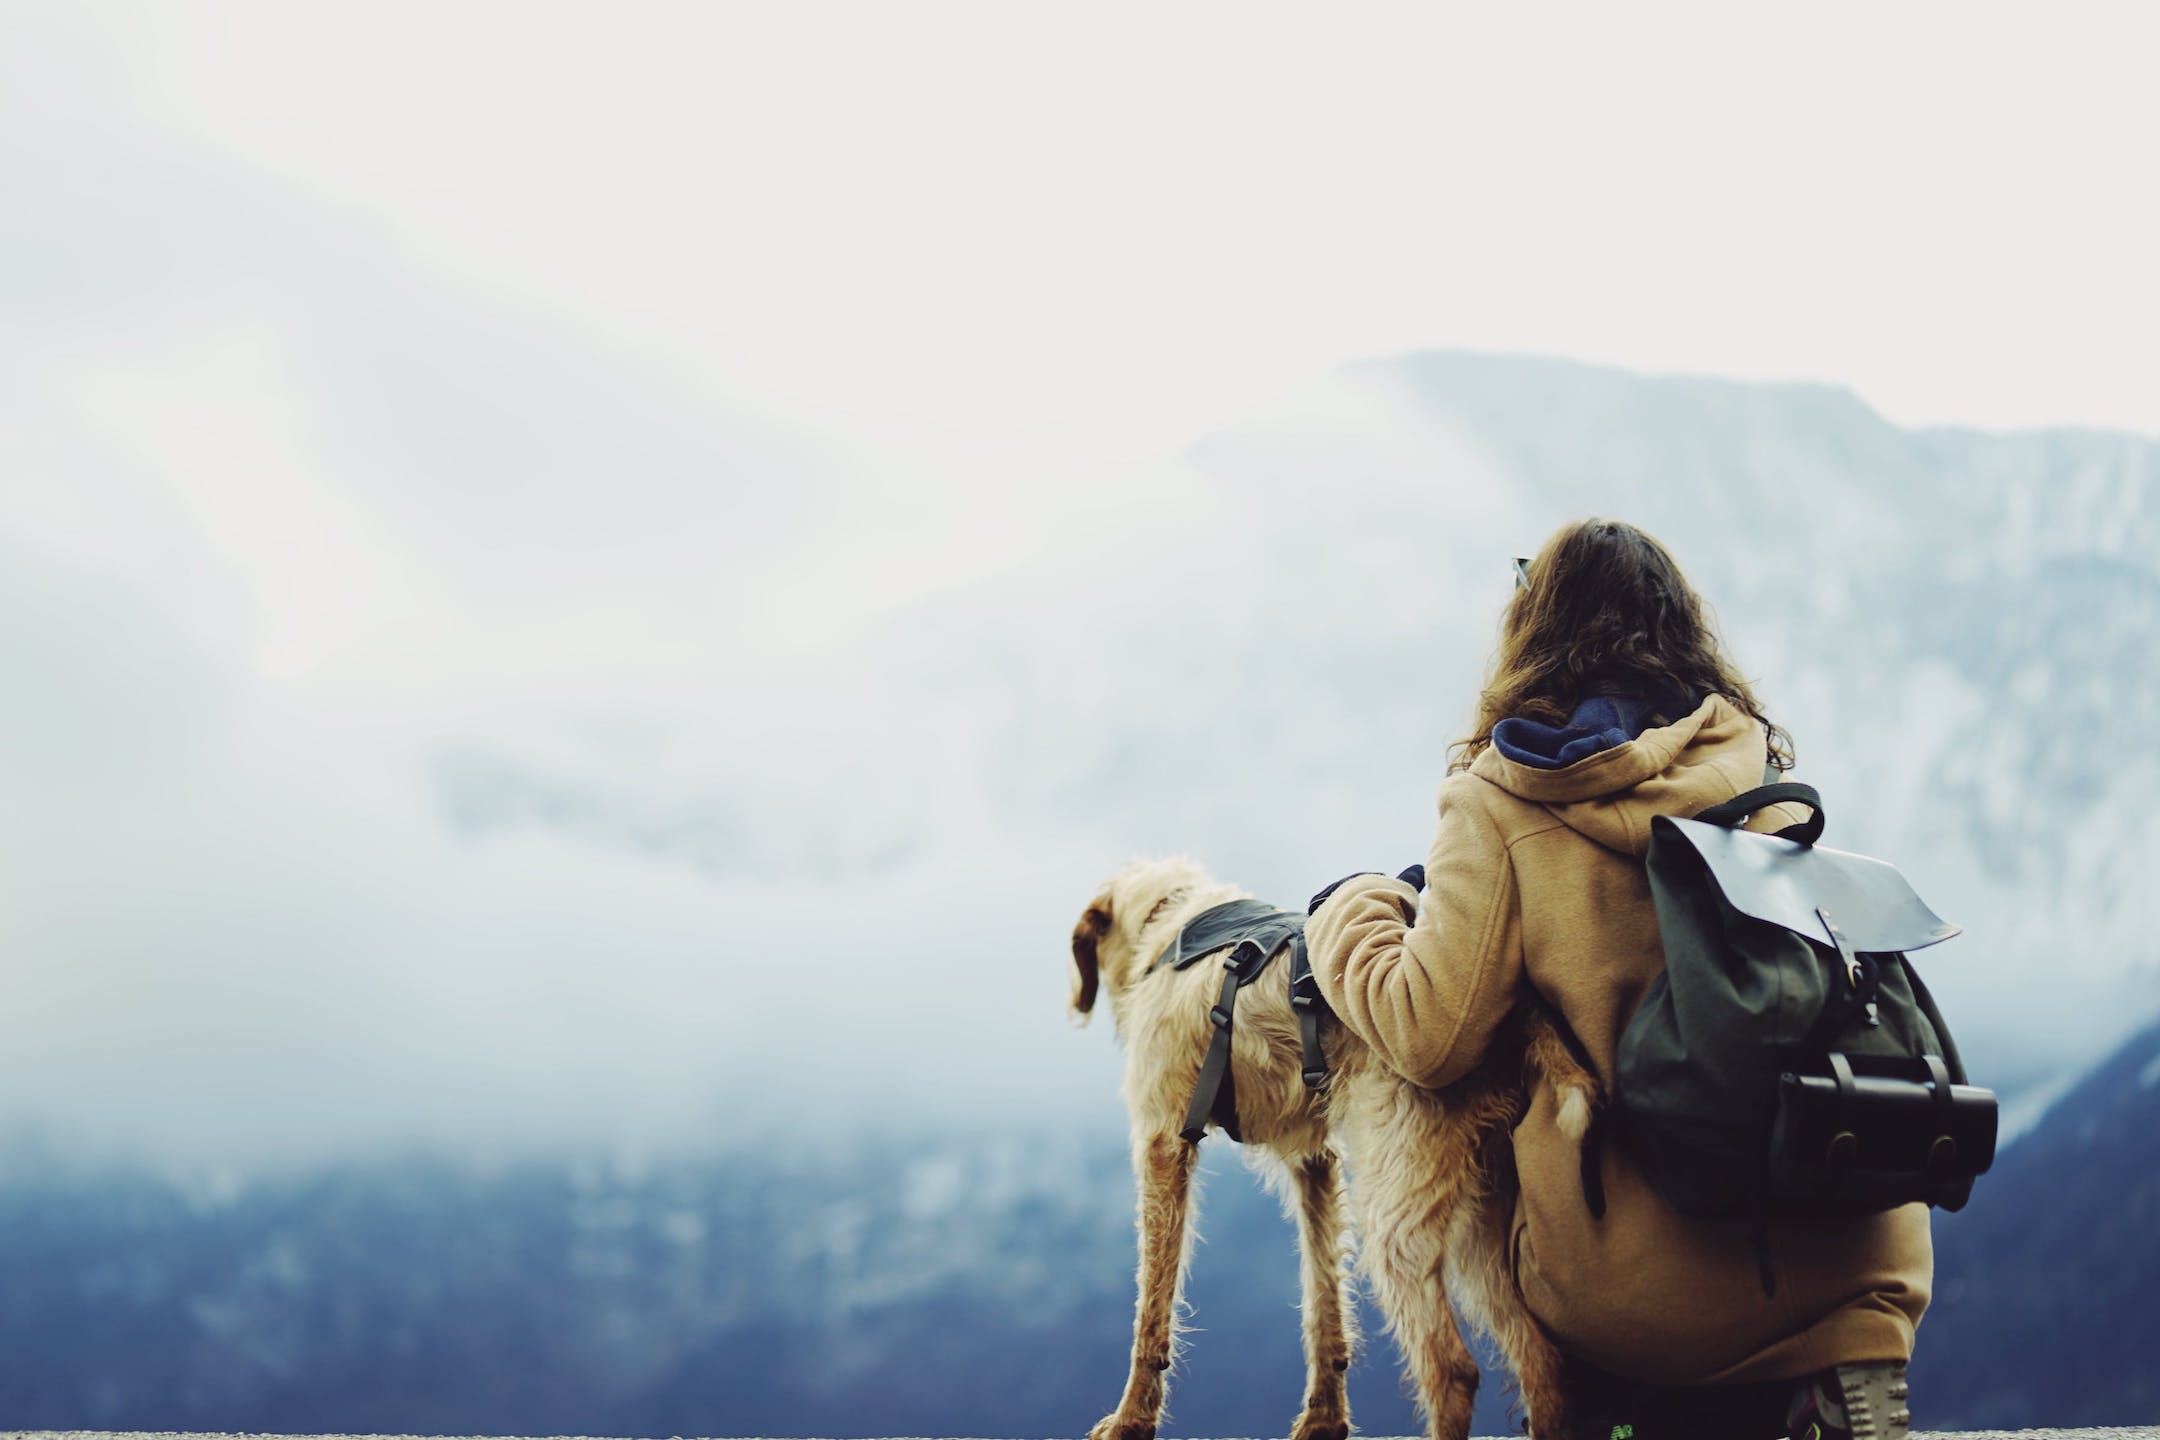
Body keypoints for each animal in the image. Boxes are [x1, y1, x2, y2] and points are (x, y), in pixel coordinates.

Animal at [1071, 854, 1598, 1440]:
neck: (1173, 922)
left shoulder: (1164, 1142)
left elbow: (1152, 1305)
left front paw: (1131, 1420)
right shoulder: (1314, 1162)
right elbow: (1323, 1298)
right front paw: (1324, 1418)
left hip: (1395, 1215)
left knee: (1452, 1370)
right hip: (1480, 1220)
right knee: (1540, 1362)